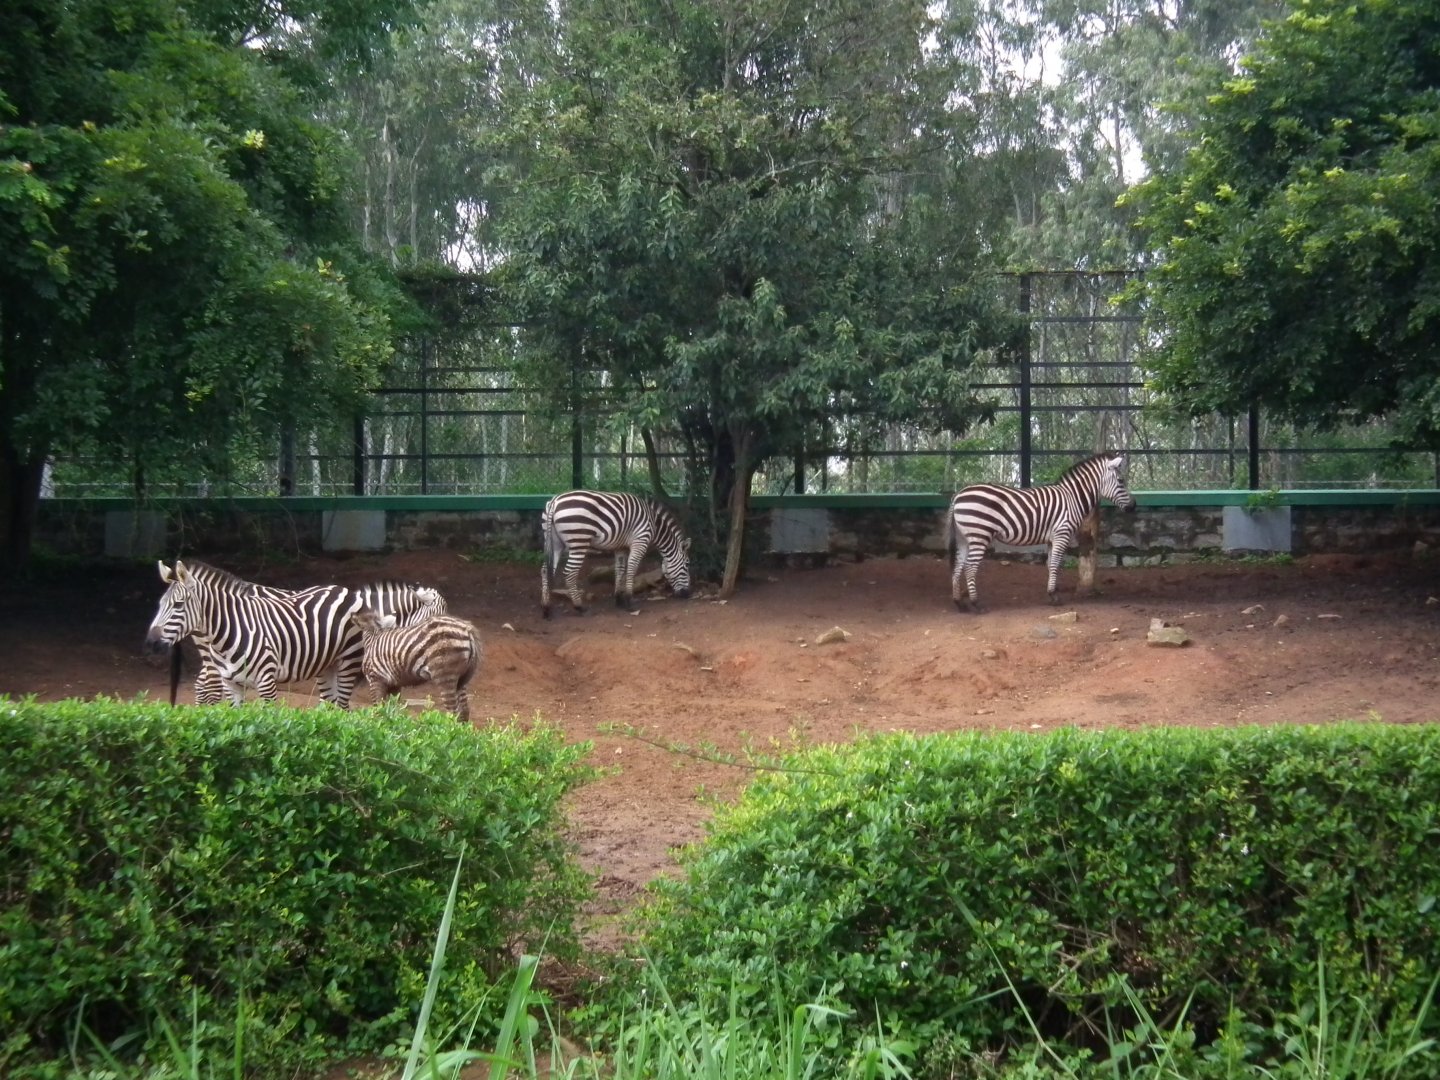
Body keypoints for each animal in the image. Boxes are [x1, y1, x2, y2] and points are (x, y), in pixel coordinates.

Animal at [352, 608, 483, 722]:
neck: (372, 638)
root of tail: (467, 629)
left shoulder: (375, 679)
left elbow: (378, 709)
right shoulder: (394, 684)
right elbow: (392, 710)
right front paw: (391, 725)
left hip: (445, 676)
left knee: (453, 713)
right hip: (462, 679)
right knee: (464, 711)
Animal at [540, 490, 692, 618]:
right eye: (687, 565)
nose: (688, 594)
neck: (655, 526)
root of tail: (555, 501)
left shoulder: (620, 547)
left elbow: (620, 569)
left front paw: (619, 599)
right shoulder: (640, 541)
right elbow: (631, 568)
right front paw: (629, 601)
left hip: (553, 542)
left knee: (545, 570)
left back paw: (546, 608)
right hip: (579, 540)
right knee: (569, 572)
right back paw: (579, 607)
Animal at [948, 452, 1138, 612]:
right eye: (1121, 481)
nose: (1133, 506)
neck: (1073, 498)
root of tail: (958, 494)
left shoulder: (1052, 538)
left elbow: (1050, 564)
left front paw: (1051, 592)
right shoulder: (1062, 533)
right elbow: (1055, 564)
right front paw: (1054, 596)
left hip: (964, 537)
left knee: (958, 565)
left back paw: (959, 603)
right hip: (980, 535)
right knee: (970, 567)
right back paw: (976, 604)